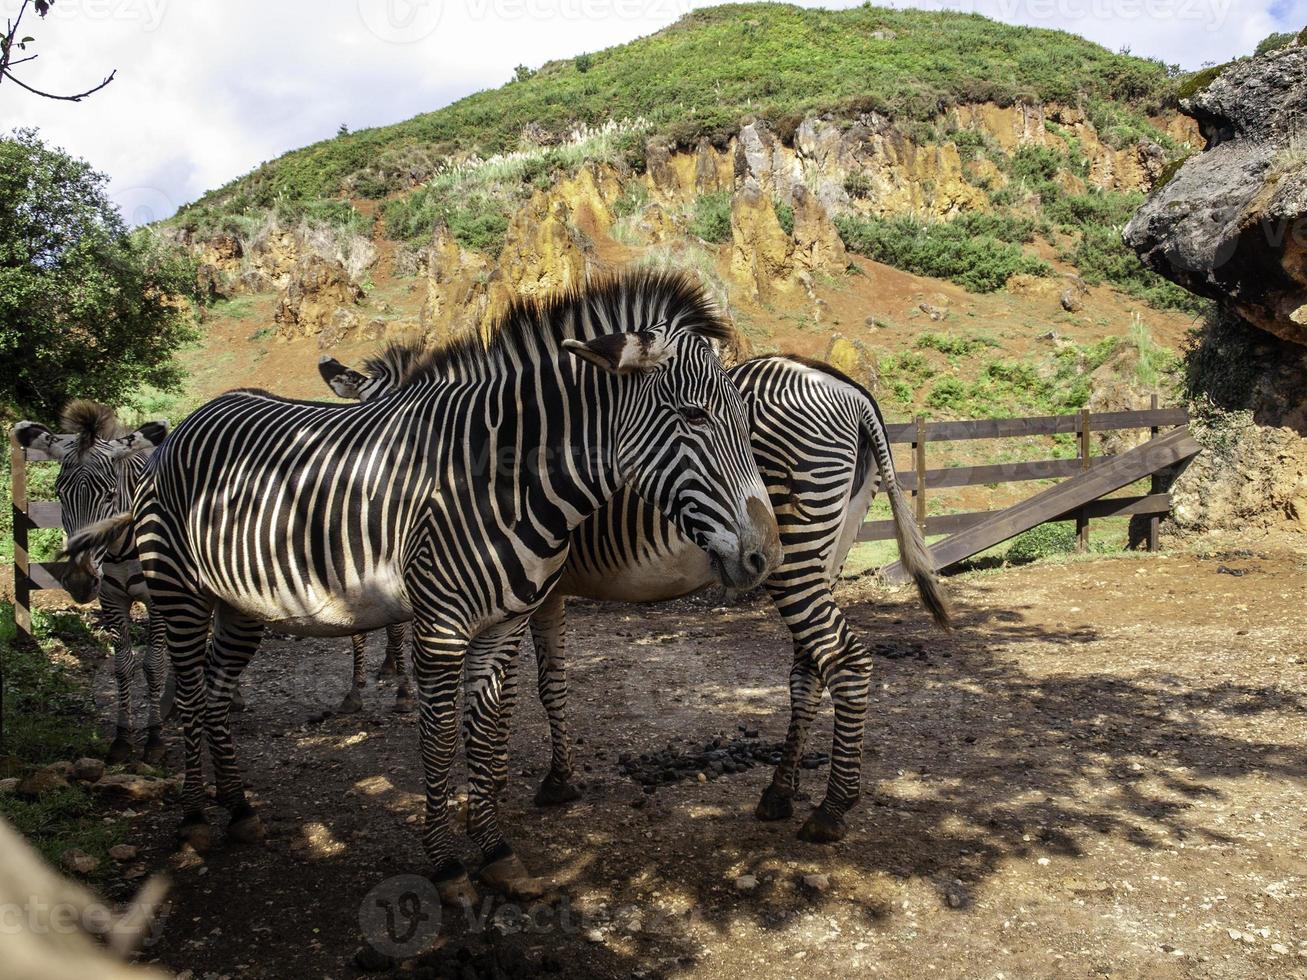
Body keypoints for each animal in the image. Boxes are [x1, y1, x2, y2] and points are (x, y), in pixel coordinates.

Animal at [13, 402, 172, 763]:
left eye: (110, 494)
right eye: (59, 494)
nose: (80, 581)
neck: (120, 548)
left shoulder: (157, 600)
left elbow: (154, 665)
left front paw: (155, 738)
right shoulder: (110, 598)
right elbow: (123, 666)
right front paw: (122, 739)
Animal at [66, 273, 778, 909]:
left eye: (743, 418)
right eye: (692, 415)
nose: (764, 554)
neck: (500, 481)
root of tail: (198, 414)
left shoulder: (505, 623)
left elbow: (486, 732)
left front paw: (496, 852)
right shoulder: (440, 626)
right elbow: (438, 736)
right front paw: (445, 863)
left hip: (241, 606)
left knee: (214, 690)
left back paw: (238, 809)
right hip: (178, 592)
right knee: (188, 693)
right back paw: (192, 819)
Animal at [316, 347, 951, 846]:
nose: (353, 524)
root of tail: (844, 384)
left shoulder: (514, 590)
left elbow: (503, 692)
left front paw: (483, 786)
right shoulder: (543, 591)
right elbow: (550, 685)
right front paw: (556, 779)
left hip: (795, 552)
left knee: (844, 660)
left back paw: (831, 808)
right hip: (827, 551)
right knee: (810, 667)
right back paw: (781, 790)